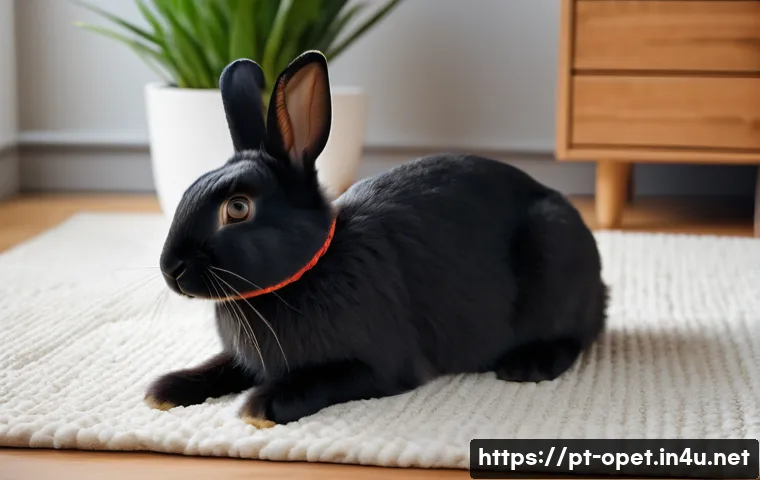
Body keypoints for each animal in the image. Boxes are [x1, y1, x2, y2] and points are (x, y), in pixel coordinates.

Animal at [145, 50, 608, 428]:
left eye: (238, 208)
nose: (170, 269)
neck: (308, 269)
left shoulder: (380, 365)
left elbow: (323, 379)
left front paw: (260, 406)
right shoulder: (246, 358)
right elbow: (220, 366)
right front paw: (164, 390)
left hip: (552, 254)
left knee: (575, 335)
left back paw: (528, 366)